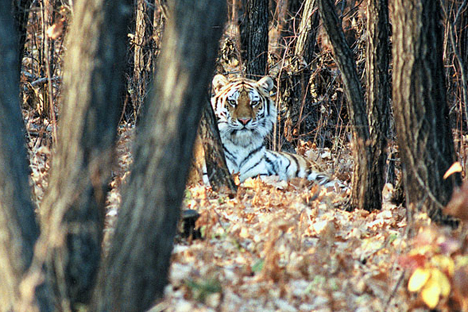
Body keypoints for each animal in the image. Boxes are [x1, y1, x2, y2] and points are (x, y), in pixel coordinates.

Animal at [210, 74, 338, 188]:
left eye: (254, 103)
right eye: (232, 102)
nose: (244, 120)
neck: (241, 143)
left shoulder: (258, 174)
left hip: (314, 174)